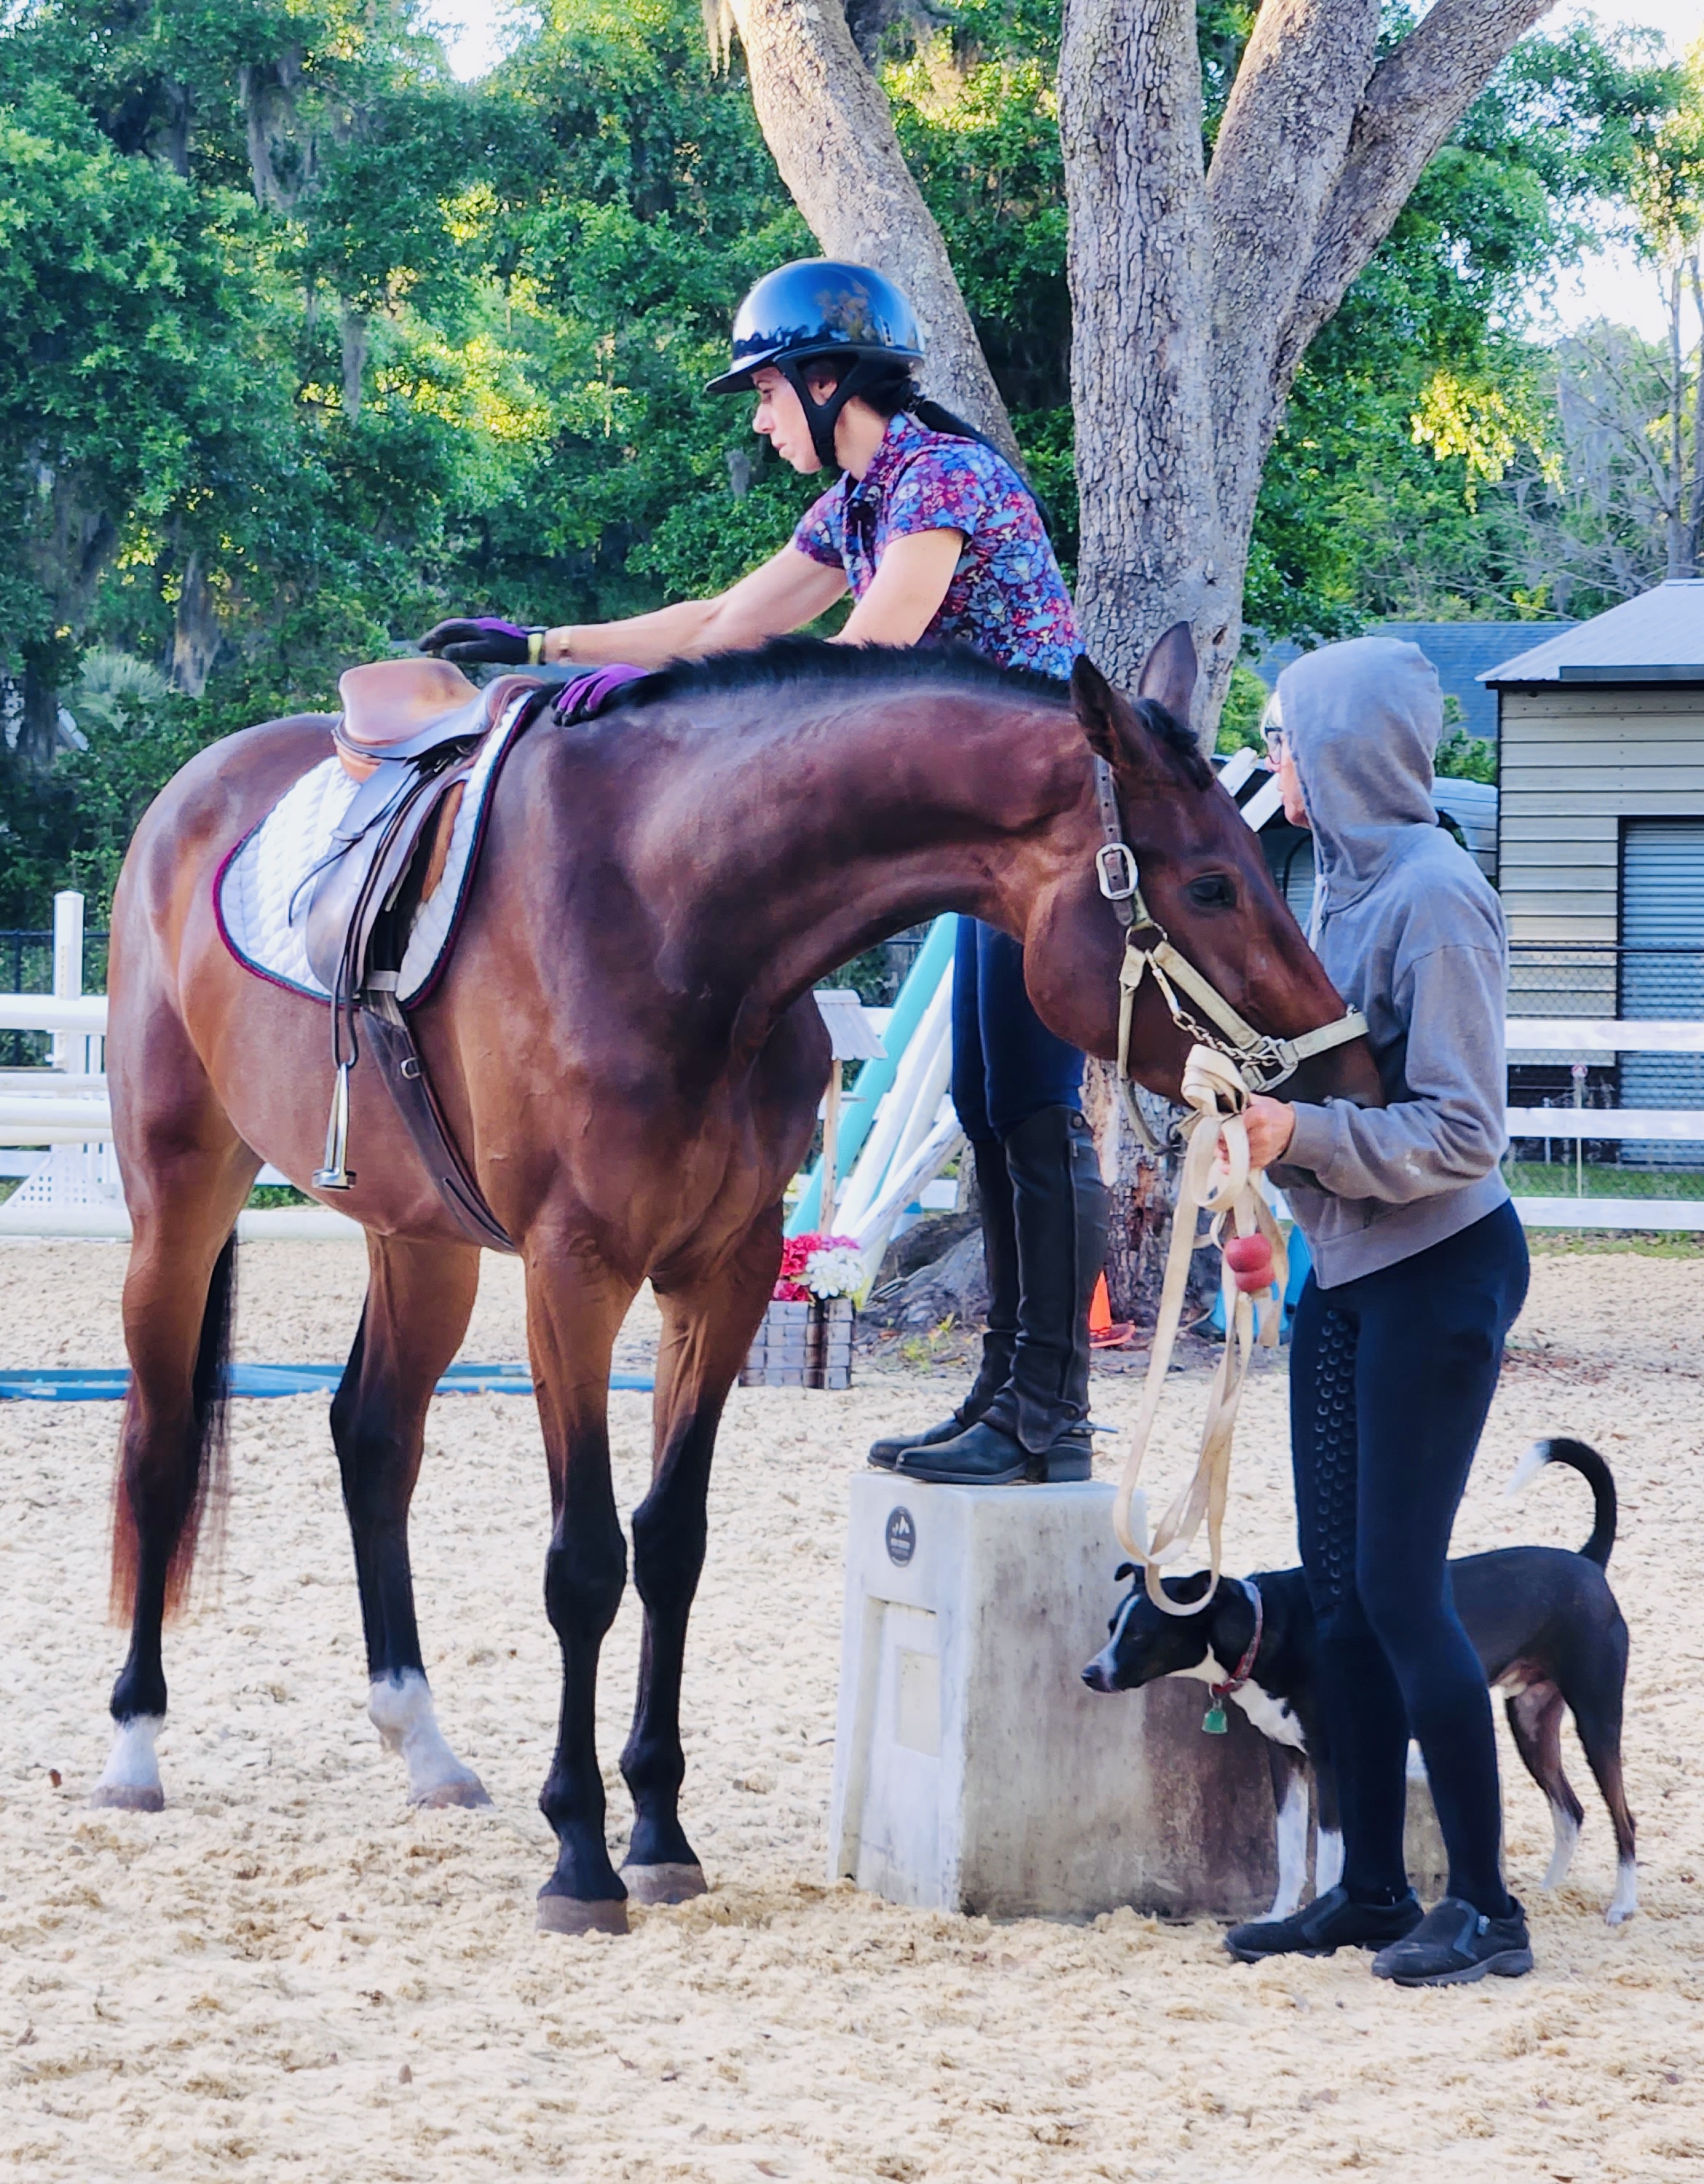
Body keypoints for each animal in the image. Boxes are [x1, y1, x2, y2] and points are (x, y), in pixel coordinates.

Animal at [93, 624, 1382, 1934]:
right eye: (1211, 884)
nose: (1357, 1072)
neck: (671, 923)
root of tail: (196, 788)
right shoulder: (574, 1274)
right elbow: (585, 1563)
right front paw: (580, 1855)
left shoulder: (720, 1276)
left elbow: (671, 1543)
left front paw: (659, 1831)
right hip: (180, 1195)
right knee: (159, 1444)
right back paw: (134, 1745)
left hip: (421, 1240)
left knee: (373, 1439)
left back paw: (424, 1744)